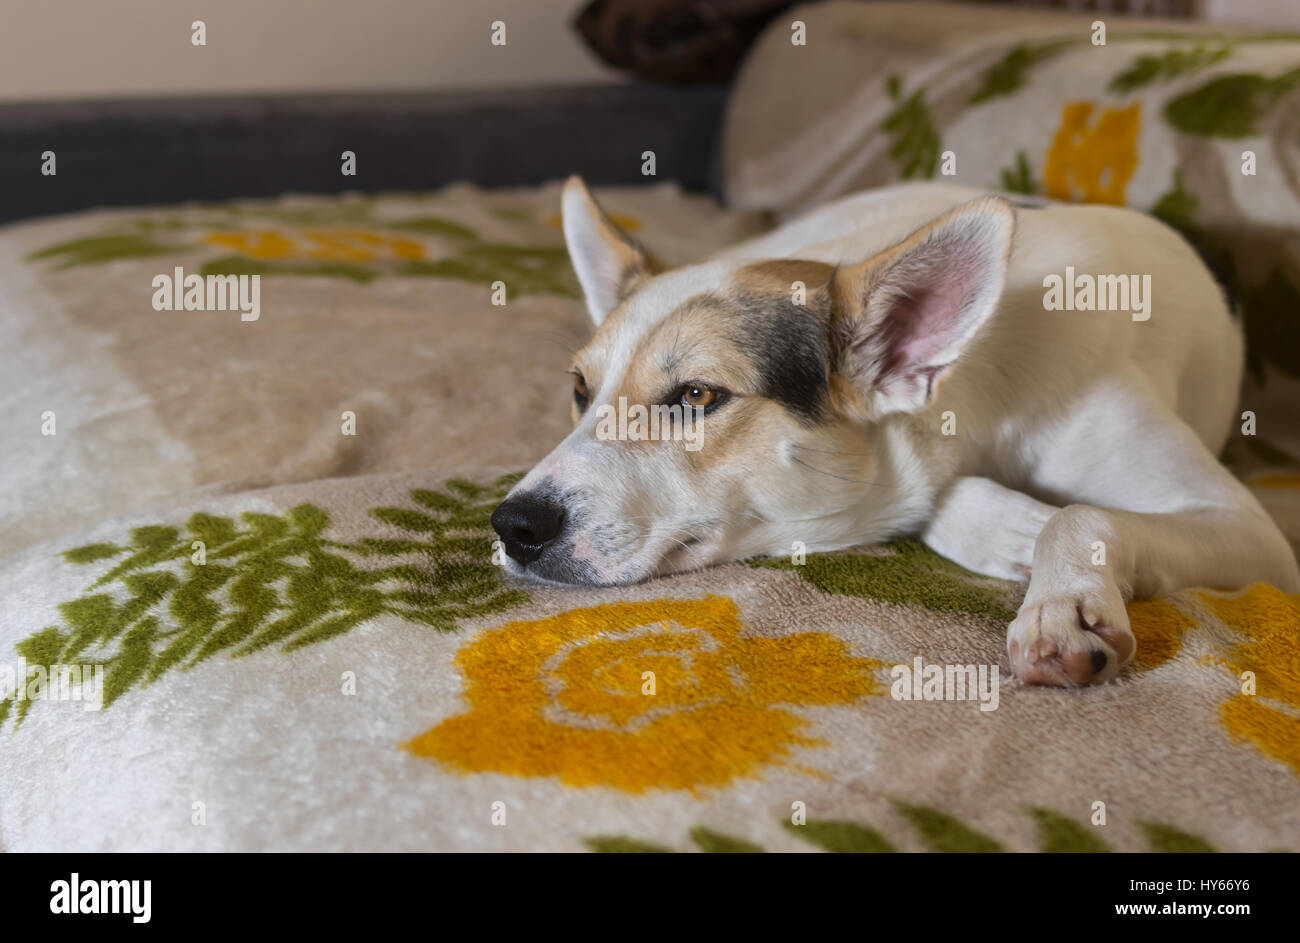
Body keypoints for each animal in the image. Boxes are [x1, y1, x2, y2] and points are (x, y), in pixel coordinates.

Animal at [488, 176, 1300, 686]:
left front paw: (1062, 601)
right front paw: (1012, 527)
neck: (980, 381)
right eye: (580, 391)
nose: (513, 526)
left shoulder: (1252, 533)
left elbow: (1081, 513)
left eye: (696, 395)